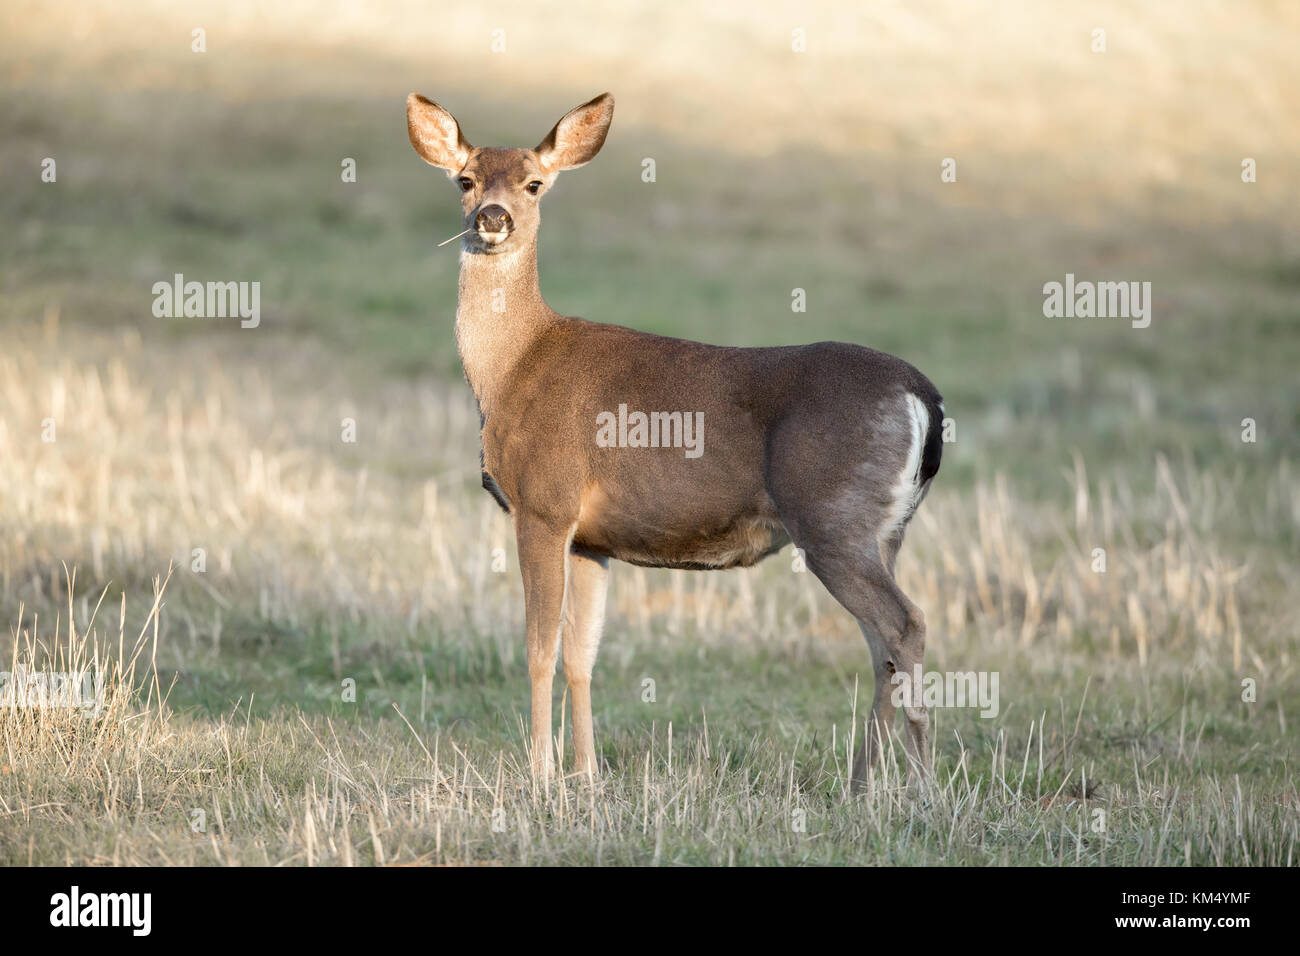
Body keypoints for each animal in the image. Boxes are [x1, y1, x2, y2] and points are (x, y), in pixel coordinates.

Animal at [405, 89, 946, 790]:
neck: (511, 368)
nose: (492, 218)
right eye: (465, 180)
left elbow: (538, 648)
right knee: (881, 643)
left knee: (905, 624)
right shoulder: (591, 539)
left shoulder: (544, 503)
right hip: (884, 532)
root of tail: (924, 396)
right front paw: (586, 775)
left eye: (534, 183)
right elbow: (581, 653)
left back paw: (924, 786)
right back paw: (861, 786)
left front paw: (541, 777)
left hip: (832, 517)